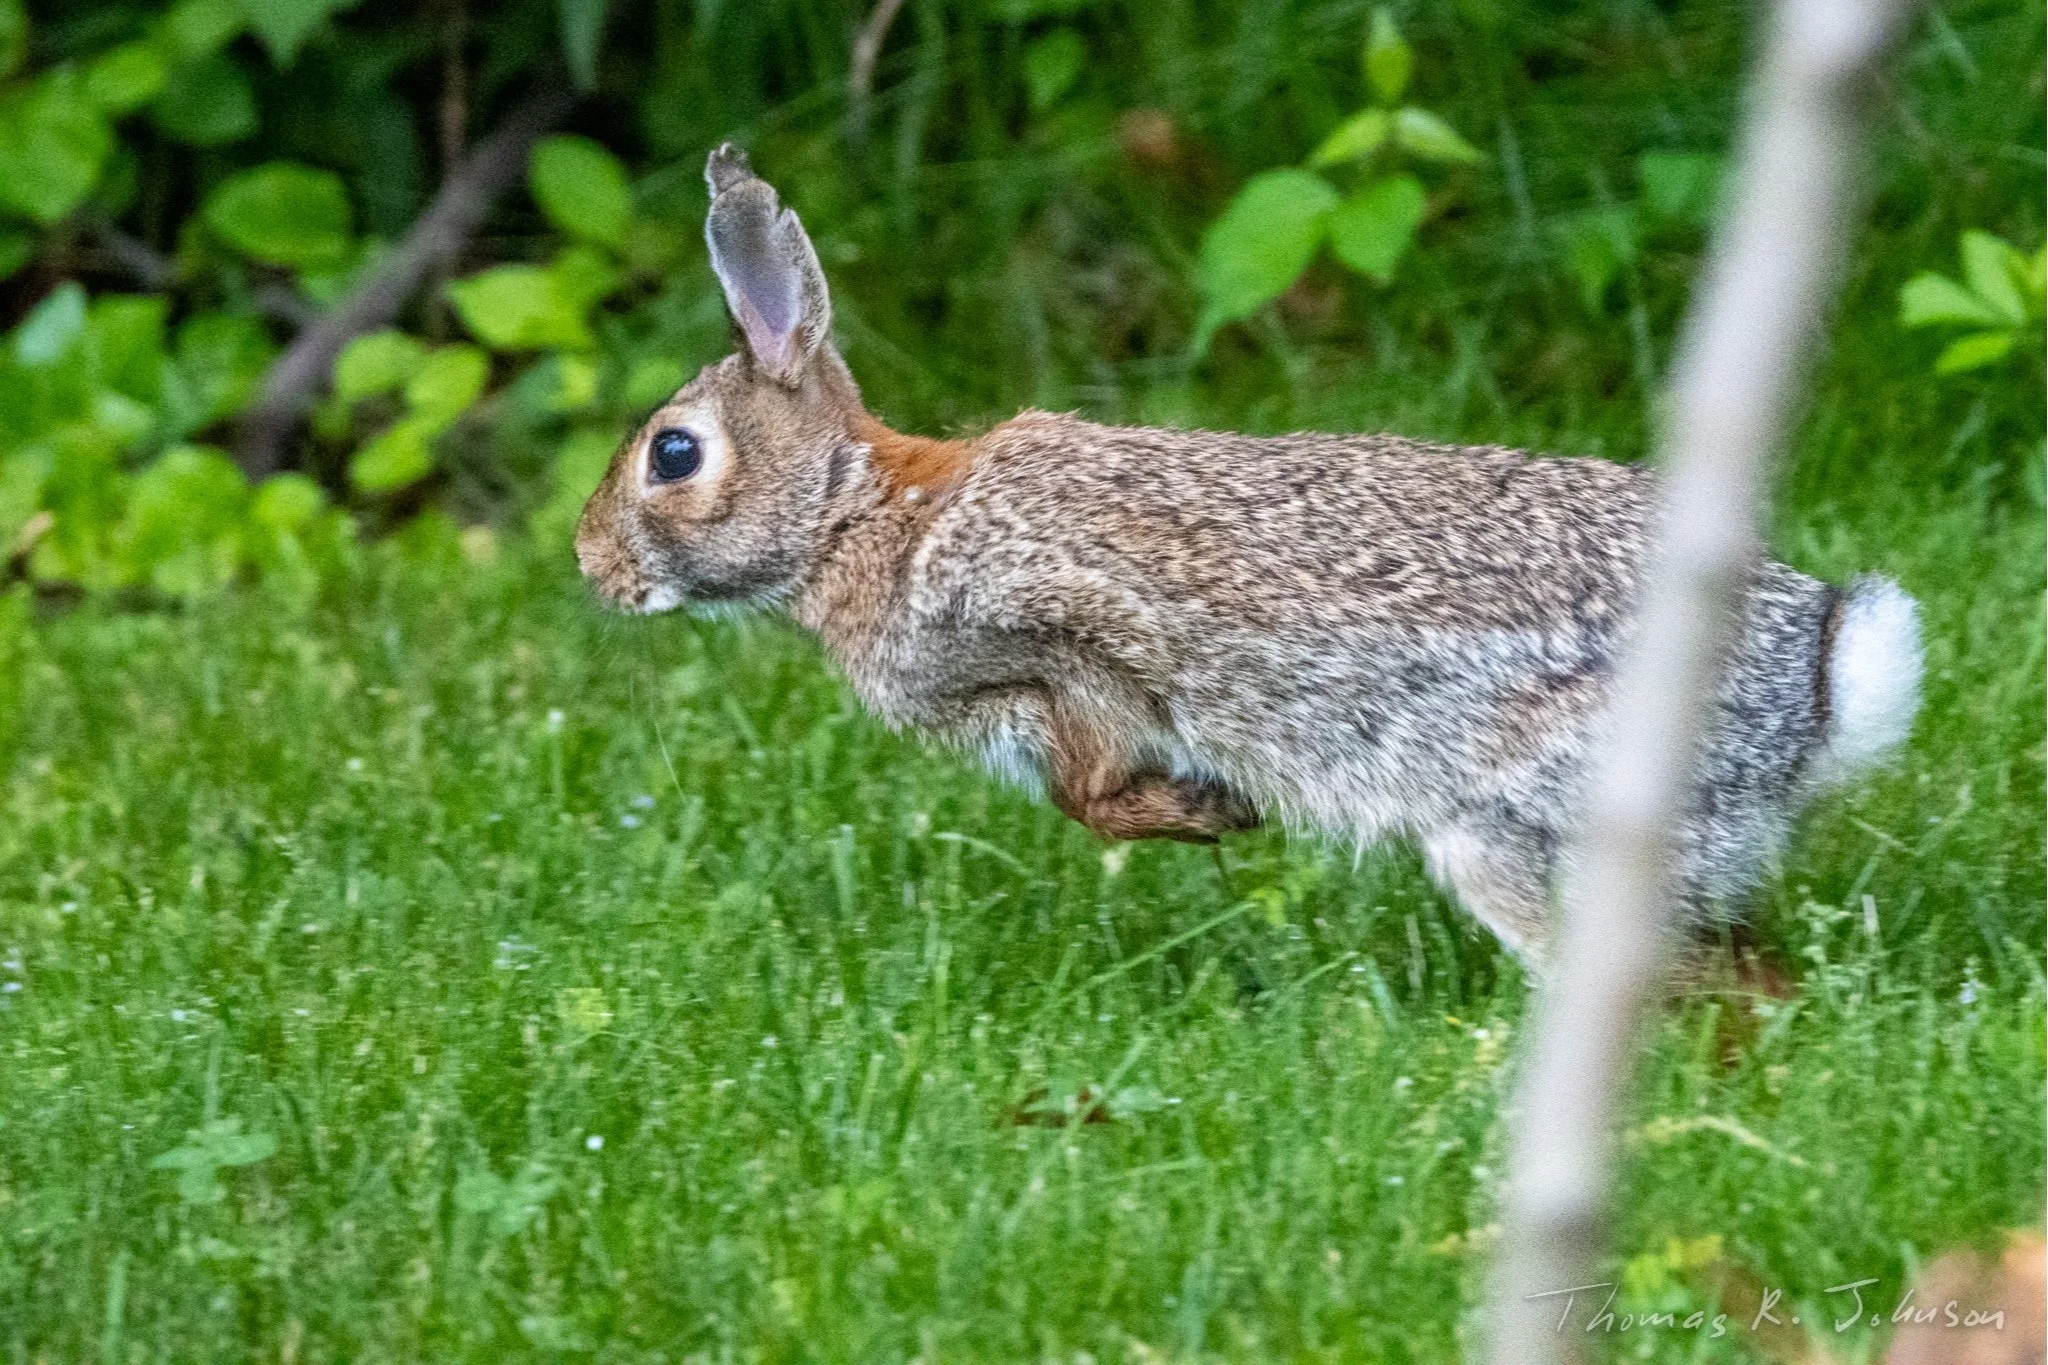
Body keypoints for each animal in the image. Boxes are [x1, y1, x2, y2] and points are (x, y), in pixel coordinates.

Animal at [576, 144, 1923, 969]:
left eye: (673, 455)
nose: (591, 568)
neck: (862, 515)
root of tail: (1812, 693)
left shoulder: (1053, 646)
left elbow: (1090, 787)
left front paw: (1204, 814)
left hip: (1523, 831)